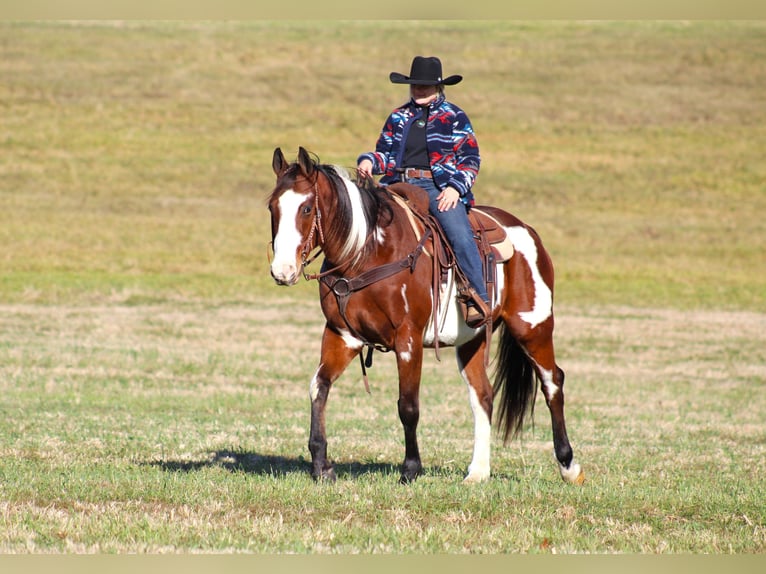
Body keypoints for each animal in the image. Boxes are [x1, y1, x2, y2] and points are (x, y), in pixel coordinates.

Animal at [268, 147, 584, 486]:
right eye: (272, 206)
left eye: (306, 207)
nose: (282, 271)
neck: (366, 253)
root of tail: (527, 231)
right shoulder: (342, 335)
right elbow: (319, 387)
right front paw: (321, 465)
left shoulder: (408, 339)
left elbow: (408, 405)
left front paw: (410, 468)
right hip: (472, 340)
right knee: (483, 395)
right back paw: (478, 472)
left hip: (533, 326)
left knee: (552, 383)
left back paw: (569, 466)